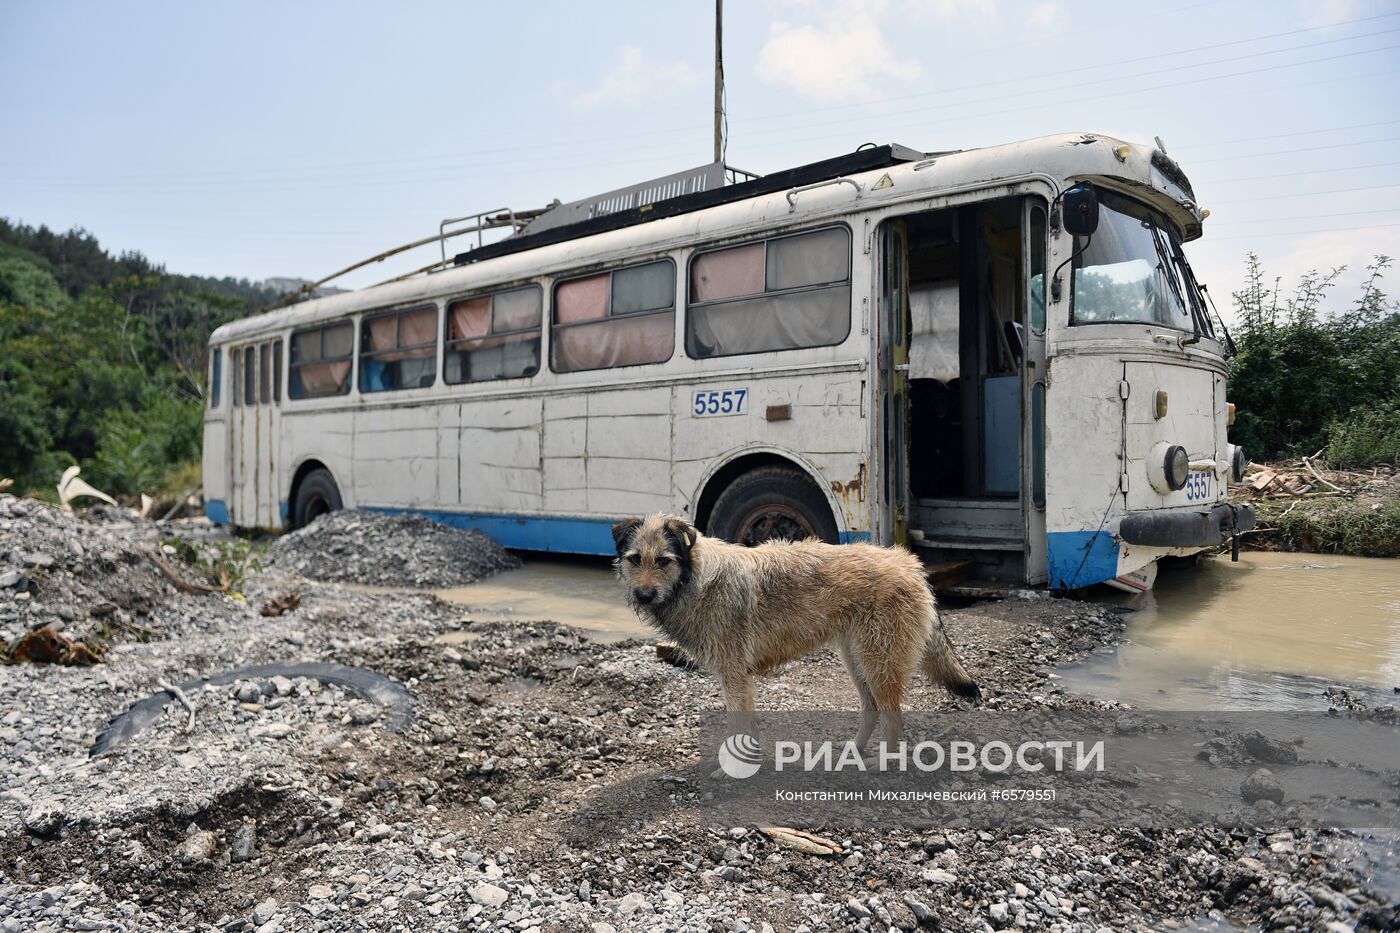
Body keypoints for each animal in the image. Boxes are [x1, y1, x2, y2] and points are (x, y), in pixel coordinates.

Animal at [607, 512, 980, 750]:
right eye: (635, 559)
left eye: (664, 560)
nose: (644, 595)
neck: (695, 580)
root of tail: (910, 564)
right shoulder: (741, 680)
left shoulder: (734, 677)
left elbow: (735, 726)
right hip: (858, 661)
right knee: (871, 710)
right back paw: (854, 752)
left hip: (878, 664)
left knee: (894, 720)